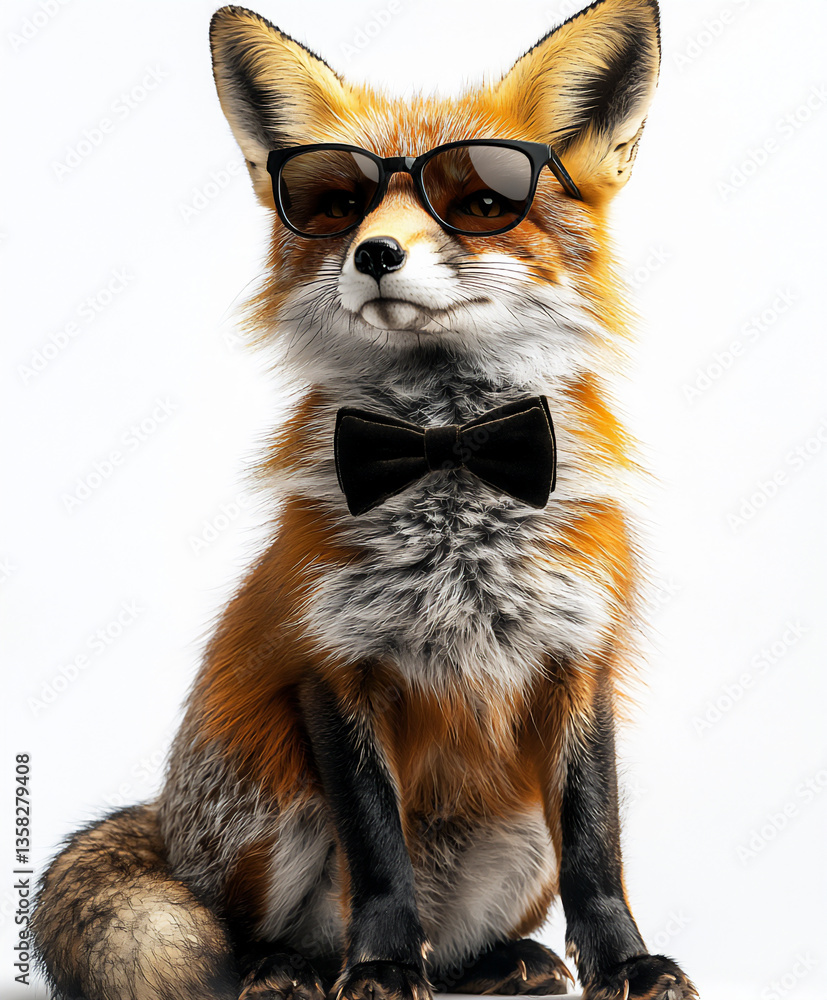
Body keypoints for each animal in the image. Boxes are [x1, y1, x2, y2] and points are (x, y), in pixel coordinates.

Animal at [32, 2, 699, 999]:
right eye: (336, 203)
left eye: (481, 202)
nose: (374, 254)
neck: (448, 454)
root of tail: (167, 823)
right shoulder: (333, 662)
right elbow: (376, 849)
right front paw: (381, 965)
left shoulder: (579, 654)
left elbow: (597, 843)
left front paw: (625, 962)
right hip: (268, 808)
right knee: (251, 931)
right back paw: (292, 968)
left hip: (517, 843)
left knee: (459, 944)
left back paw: (501, 961)